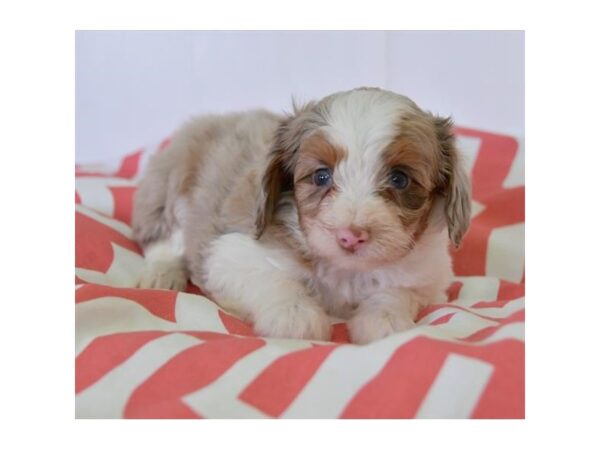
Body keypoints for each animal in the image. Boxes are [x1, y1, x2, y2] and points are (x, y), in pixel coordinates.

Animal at [134, 86, 472, 342]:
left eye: (400, 179)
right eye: (321, 176)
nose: (351, 236)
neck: (345, 271)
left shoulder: (427, 276)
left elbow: (398, 291)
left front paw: (385, 318)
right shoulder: (231, 254)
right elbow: (272, 279)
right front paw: (294, 315)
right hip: (173, 183)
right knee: (167, 237)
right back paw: (162, 274)